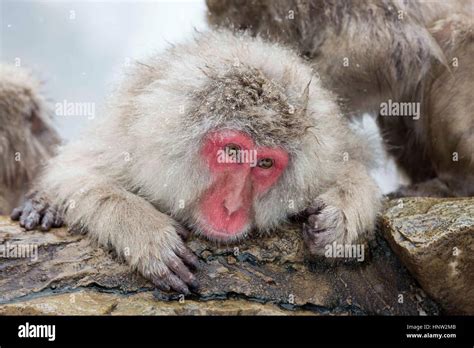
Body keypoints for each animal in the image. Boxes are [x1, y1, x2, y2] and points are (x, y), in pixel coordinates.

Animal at [11, 31, 382, 294]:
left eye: (264, 163)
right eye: (232, 151)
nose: (232, 208)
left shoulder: (328, 149)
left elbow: (352, 164)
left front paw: (340, 214)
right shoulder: (128, 143)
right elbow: (73, 175)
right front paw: (145, 231)